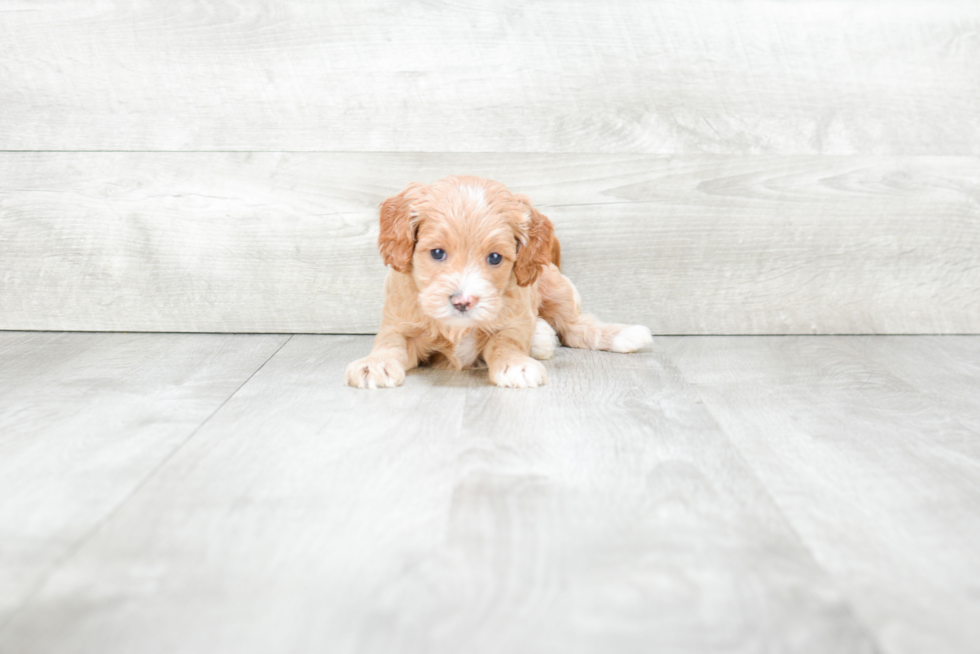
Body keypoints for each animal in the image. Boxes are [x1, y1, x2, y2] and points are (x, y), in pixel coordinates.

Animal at [344, 174, 652, 390]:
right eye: (437, 253)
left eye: (494, 258)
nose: (463, 302)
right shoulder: (399, 323)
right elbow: (389, 343)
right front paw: (374, 365)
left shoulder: (512, 320)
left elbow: (507, 342)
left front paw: (517, 365)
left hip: (556, 289)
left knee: (576, 327)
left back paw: (624, 335)